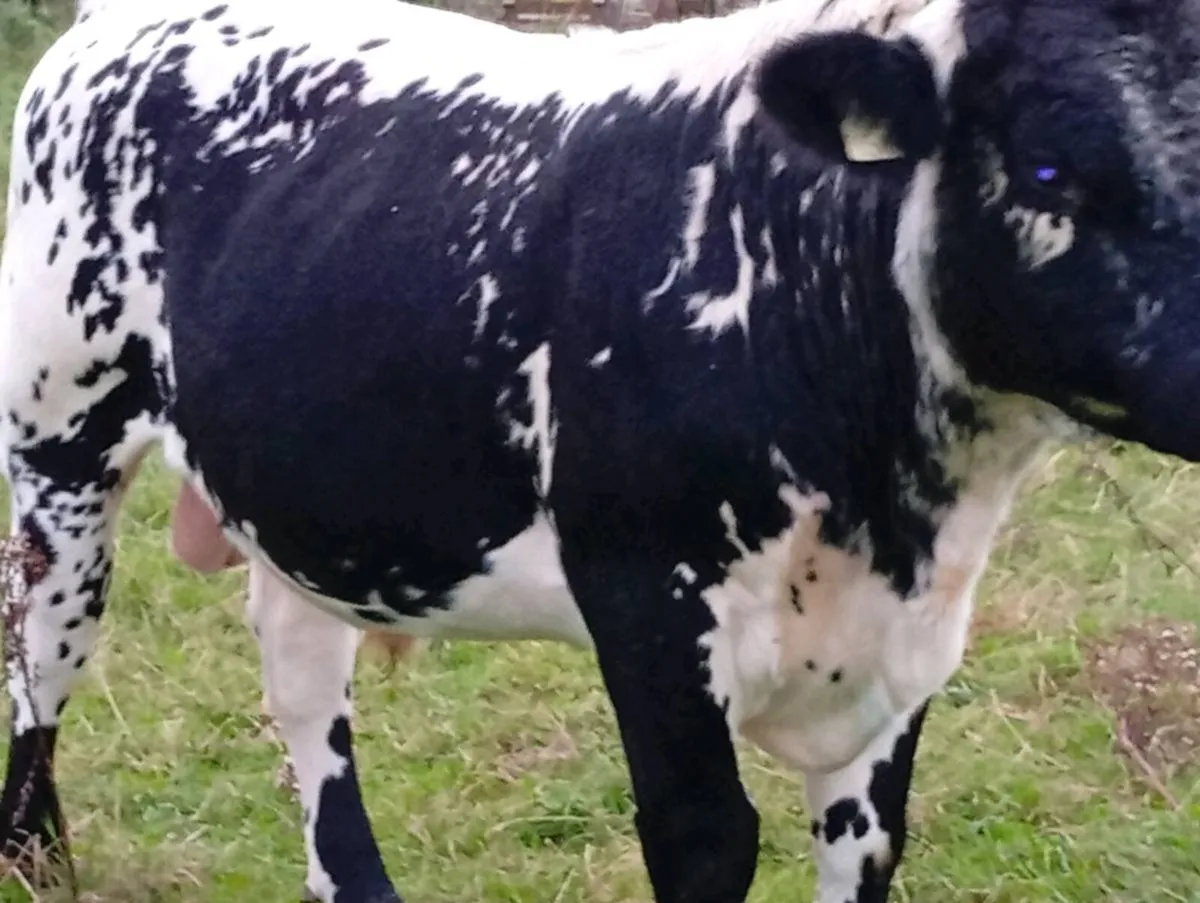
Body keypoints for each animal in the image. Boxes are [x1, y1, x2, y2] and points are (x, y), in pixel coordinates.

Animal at [3, 0, 1200, 900]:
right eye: (1047, 170)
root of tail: (110, 26)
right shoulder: (648, 599)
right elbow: (708, 836)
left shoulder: (898, 652)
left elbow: (868, 839)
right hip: (59, 439)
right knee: (44, 655)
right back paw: (34, 859)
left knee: (301, 678)